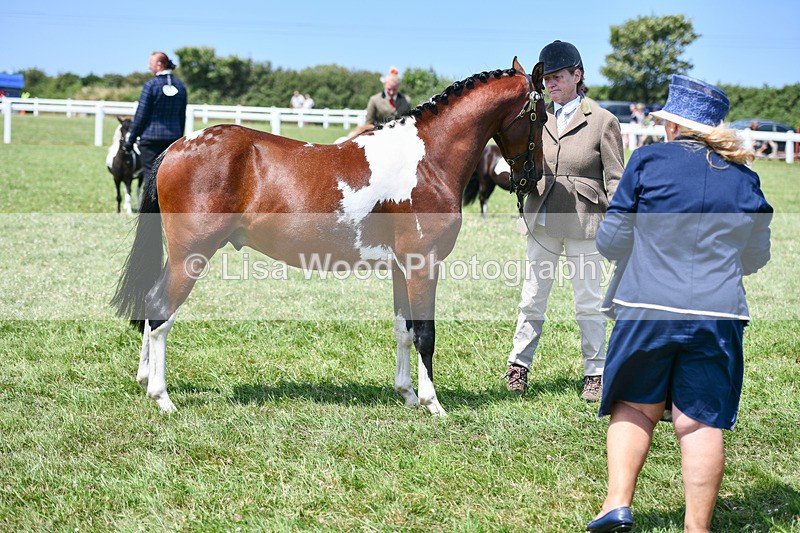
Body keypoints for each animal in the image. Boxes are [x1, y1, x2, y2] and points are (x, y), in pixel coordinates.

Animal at [111, 57, 546, 416]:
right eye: (540, 116)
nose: (534, 176)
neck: (426, 160)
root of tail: (175, 148)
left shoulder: (401, 268)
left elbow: (403, 331)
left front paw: (406, 394)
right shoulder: (423, 264)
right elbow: (426, 333)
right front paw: (432, 403)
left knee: (151, 304)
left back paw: (145, 380)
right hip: (192, 256)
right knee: (161, 311)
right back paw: (162, 397)